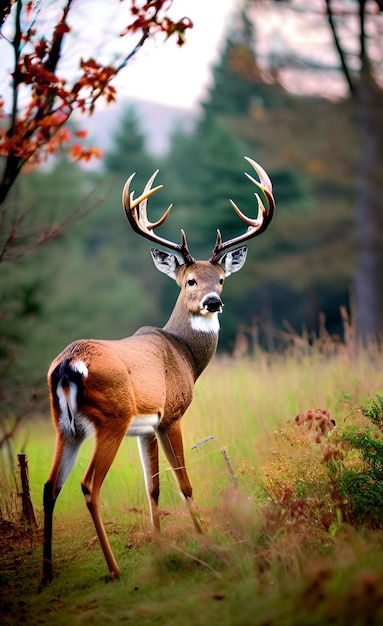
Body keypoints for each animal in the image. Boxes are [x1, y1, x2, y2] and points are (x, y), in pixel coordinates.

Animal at [41, 155, 276, 580]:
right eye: (190, 281)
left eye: (222, 279)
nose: (214, 302)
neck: (183, 353)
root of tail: (68, 363)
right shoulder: (171, 415)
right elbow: (183, 482)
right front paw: (202, 537)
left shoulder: (145, 427)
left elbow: (153, 486)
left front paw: (160, 543)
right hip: (111, 418)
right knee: (88, 485)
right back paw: (113, 569)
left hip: (64, 425)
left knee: (51, 486)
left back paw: (47, 574)